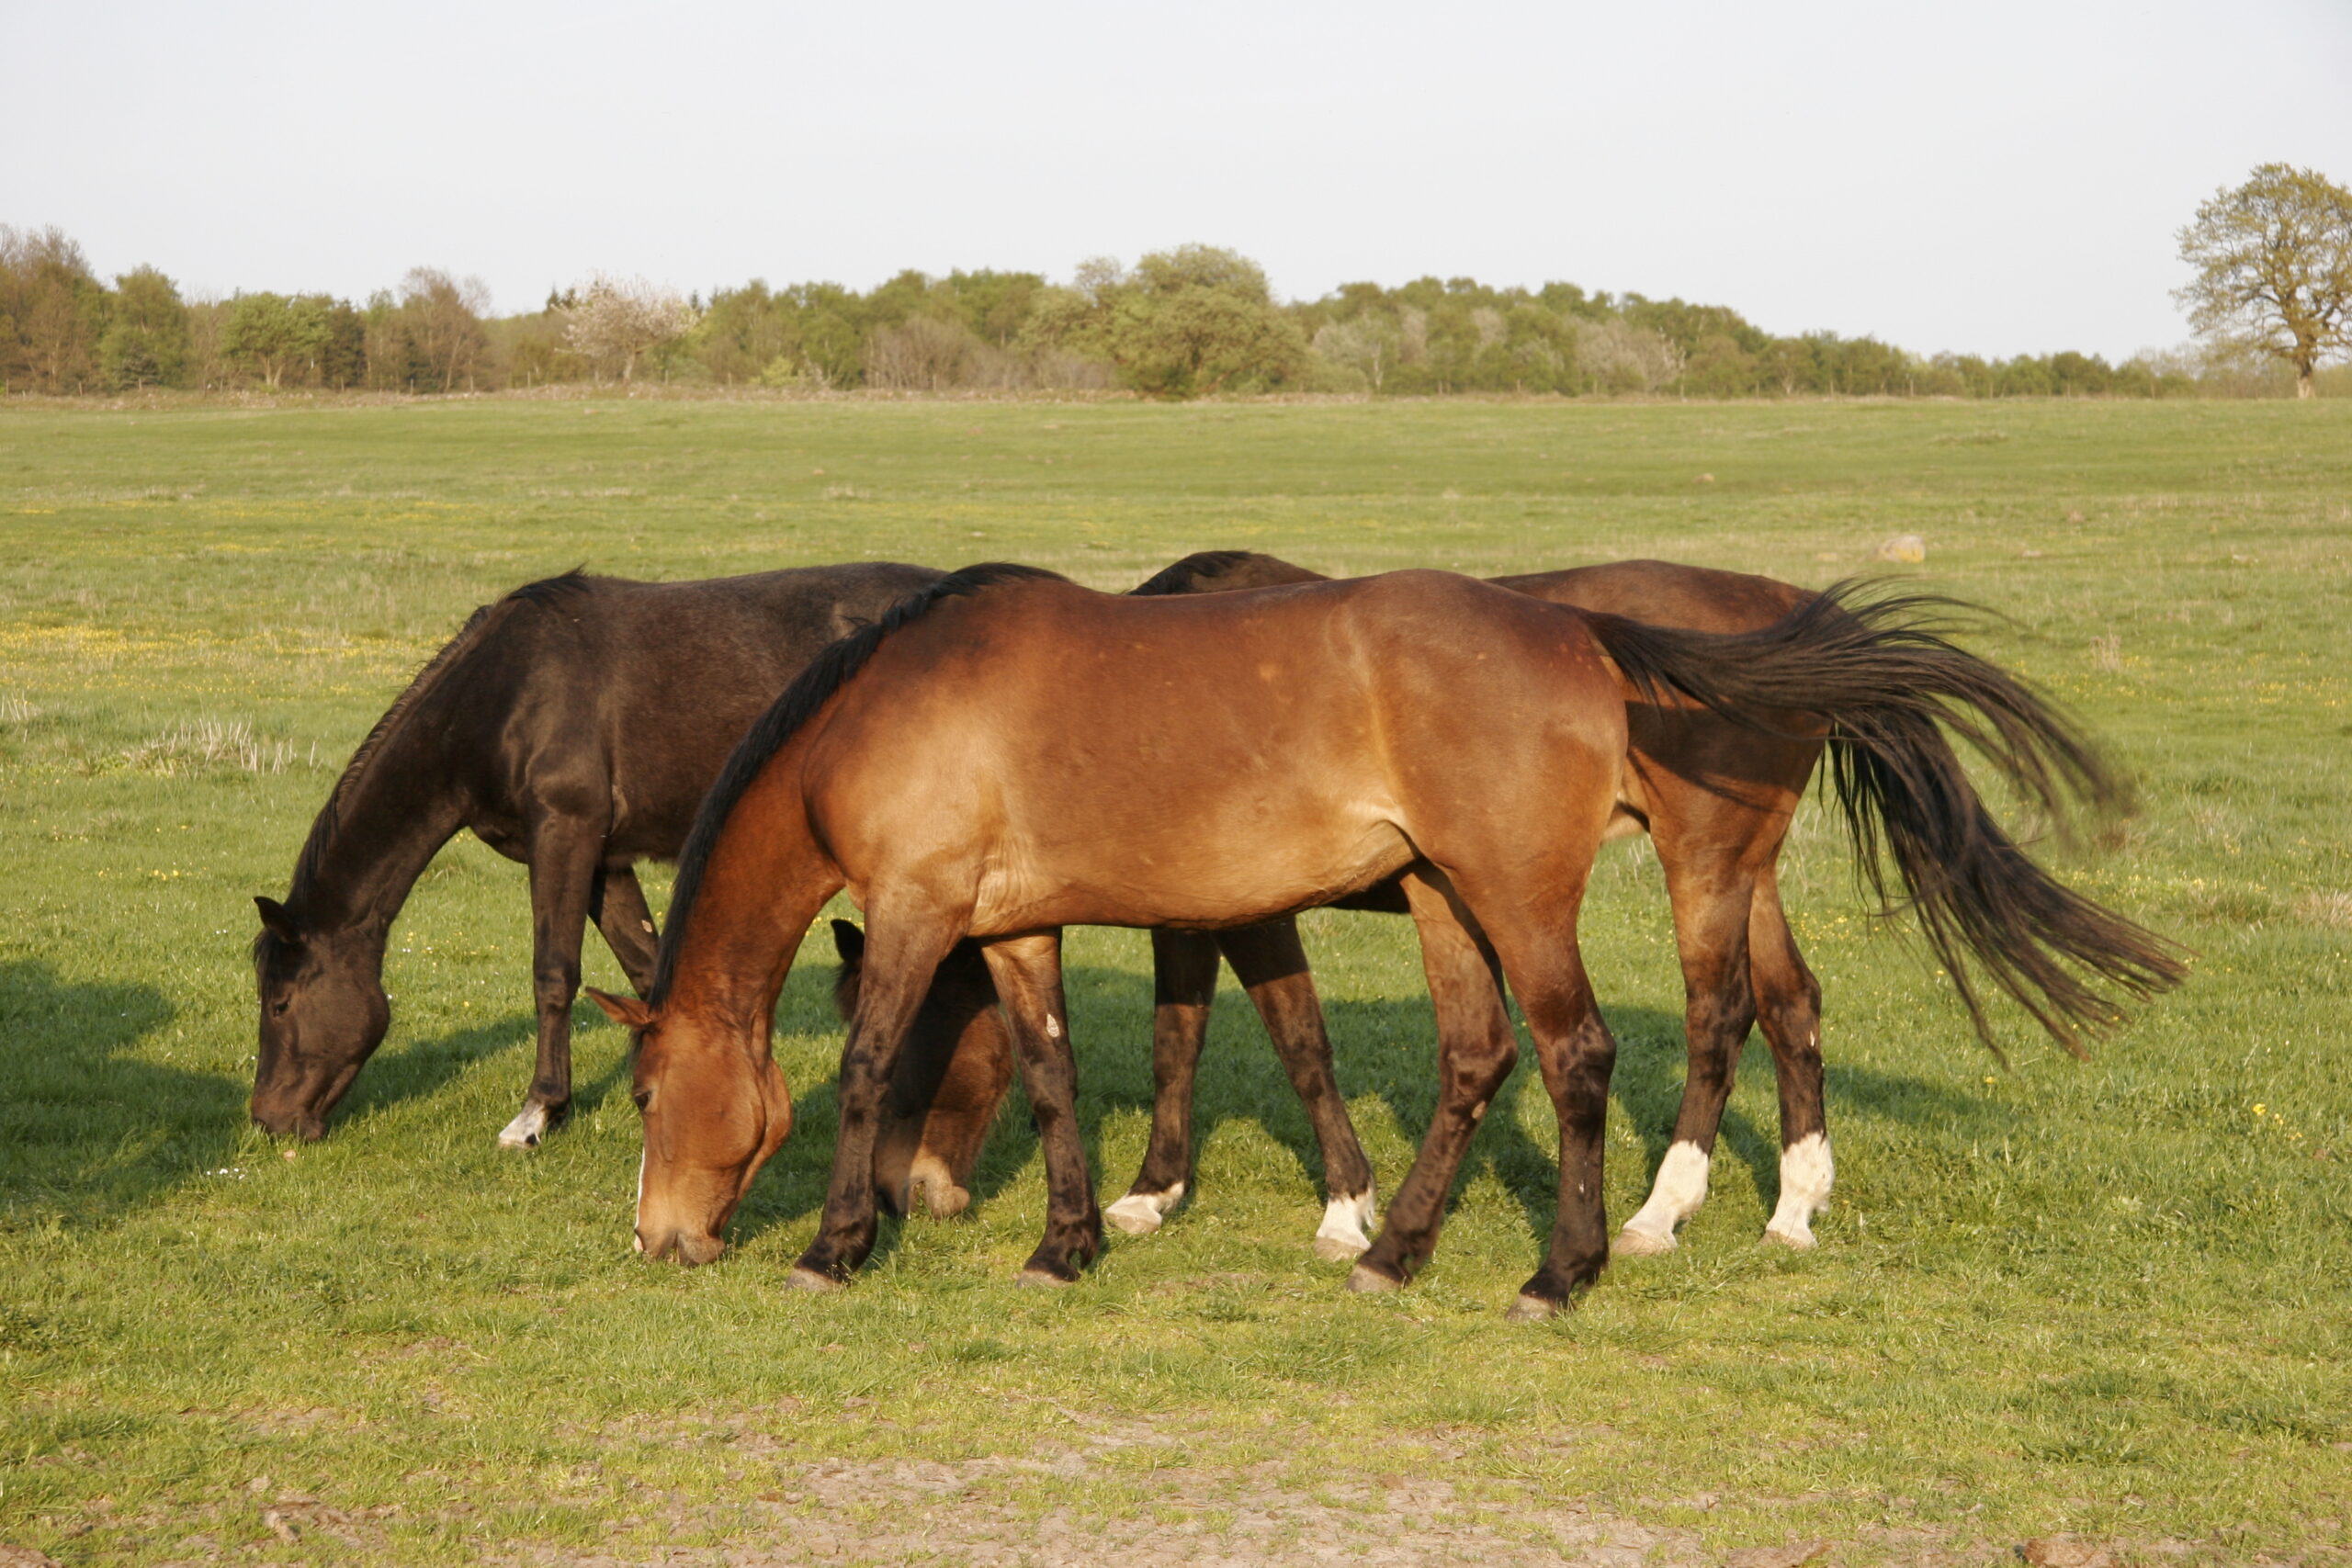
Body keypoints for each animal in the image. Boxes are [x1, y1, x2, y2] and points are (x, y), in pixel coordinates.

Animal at [248, 562, 946, 1147]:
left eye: (279, 1003)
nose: (268, 1119)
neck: (505, 695)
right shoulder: (604, 860)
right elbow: (644, 964)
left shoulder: (565, 834)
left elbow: (553, 974)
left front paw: (538, 1112)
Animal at [590, 565, 2180, 1317]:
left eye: (654, 1093)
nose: (658, 1238)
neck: (891, 705)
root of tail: (1578, 630)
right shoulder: (1019, 926)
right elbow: (1049, 1075)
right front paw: (1066, 1240)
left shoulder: (926, 911)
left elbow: (864, 1069)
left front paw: (835, 1243)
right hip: (1453, 896)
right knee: (1499, 1055)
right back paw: (1407, 1249)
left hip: (1552, 892)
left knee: (1591, 1049)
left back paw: (1568, 1265)